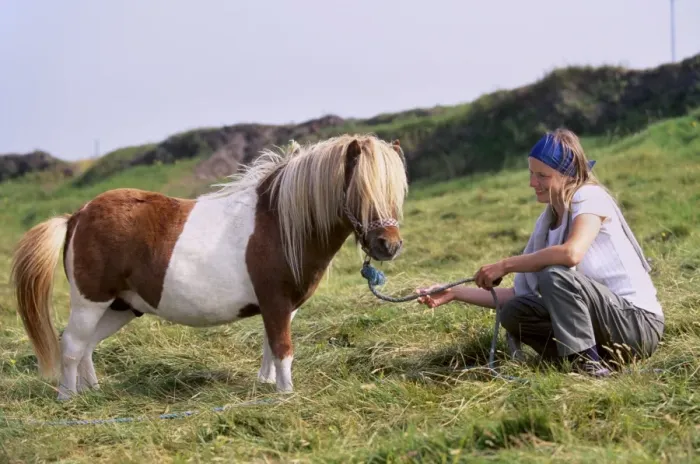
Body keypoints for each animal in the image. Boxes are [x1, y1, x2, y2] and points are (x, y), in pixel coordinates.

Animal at [10, 134, 409, 400]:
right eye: (360, 191)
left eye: (397, 192)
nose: (388, 246)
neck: (279, 223)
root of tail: (76, 215)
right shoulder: (276, 303)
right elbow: (282, 349)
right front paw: (286, 395)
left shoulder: (280, 308)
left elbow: (270, 346)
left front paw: (267, 385)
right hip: (91, 301)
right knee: (72, 344)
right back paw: (68, 398)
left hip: (122, 306)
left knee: (88, 345)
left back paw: (92, 390)